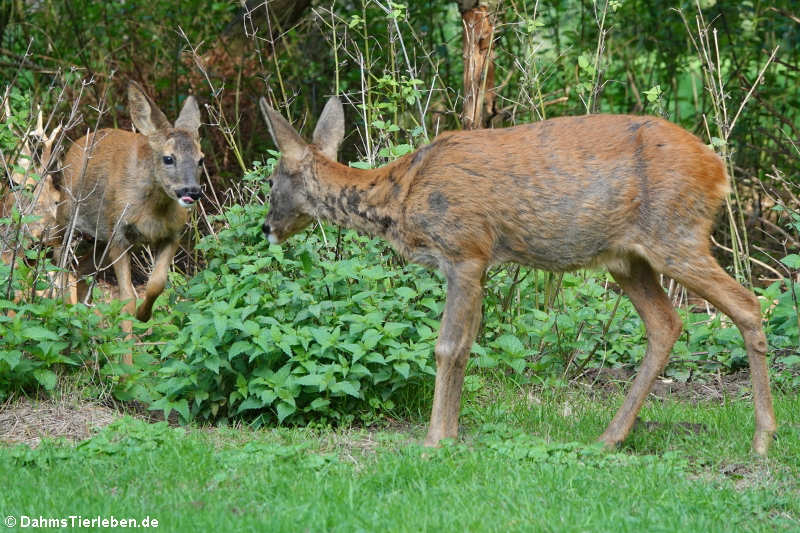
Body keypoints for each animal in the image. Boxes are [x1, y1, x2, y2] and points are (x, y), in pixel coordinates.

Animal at [57, 82, 203, 366]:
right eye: (168, 158)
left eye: (201, 159)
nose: (191, 191)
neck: (153, 211)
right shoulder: (119, 233)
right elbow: (125, 297)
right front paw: (126, 365)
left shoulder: (172, 235)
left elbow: (157, 282)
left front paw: (144, 316)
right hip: (68, 216)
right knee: (59, 261)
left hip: (100, 241)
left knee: (82, 271)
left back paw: (83, 329)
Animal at [256, 95, 776, 454]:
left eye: (272, 180)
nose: (267, 228)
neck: (400, 196)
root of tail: (718, 169)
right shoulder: (481, 262)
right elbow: (467, 347)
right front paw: (451, 433)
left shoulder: (464, 248)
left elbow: (447, 347)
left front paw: (434, 439)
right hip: (628, 258)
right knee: (667, 324)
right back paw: (610, 437)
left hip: (677, 234)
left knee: (749, 304)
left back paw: (761, 439)